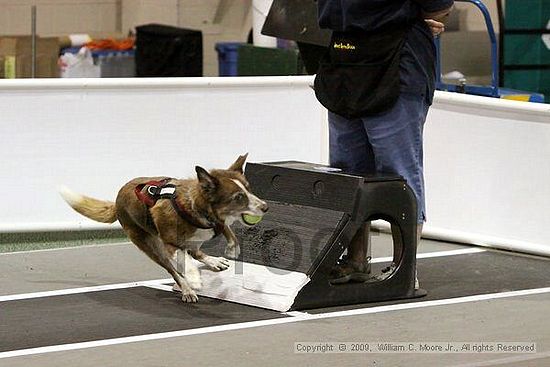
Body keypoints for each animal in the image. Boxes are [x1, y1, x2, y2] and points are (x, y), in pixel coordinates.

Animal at [60, 154, 268, 304]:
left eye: (249, 189)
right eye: (238, 197)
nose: (266, 207)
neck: (196, 209)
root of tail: (117, 200)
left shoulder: (217, 224)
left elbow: (228, 233)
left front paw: (231, 249)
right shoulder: (169, 244)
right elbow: (184, 260)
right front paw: (194, 278)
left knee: (195, 251)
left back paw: (213, 261)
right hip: (151, 246)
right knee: (174, 269)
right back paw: (187, 289)